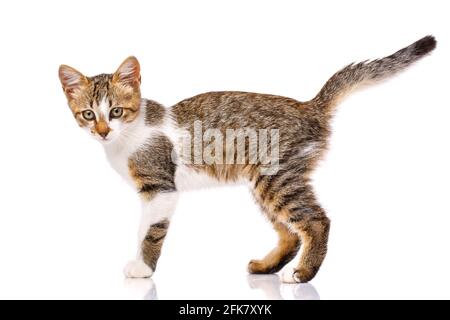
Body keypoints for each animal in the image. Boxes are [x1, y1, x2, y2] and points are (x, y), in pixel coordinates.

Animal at [59, 36, 436, 284]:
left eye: (116, 111)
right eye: (89, 114)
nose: (103, 131)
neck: (128, 135)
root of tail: (309, 106)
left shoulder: (160, 189)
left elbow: (150, 232)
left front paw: (143, 269)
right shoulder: (150, 193)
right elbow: (142, 228)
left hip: (277, 177)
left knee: (316, 221)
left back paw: (303, 272)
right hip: (263, 184)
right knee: (290, 235)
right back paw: (267, 267)